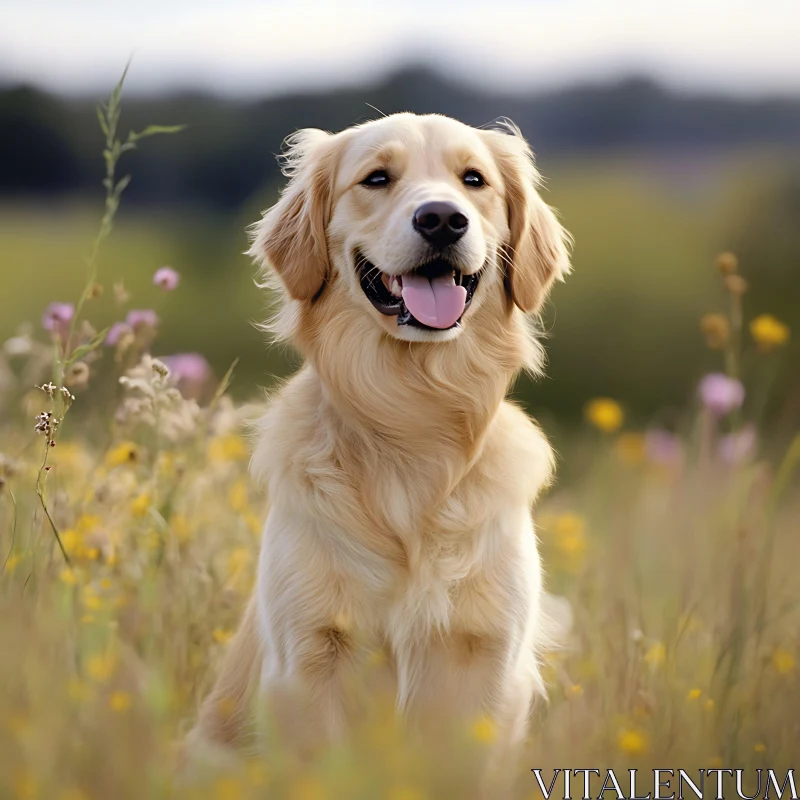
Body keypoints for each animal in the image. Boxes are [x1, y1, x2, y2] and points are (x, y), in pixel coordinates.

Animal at [186, 112, 576, 792]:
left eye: (473, 179)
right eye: (376, 179)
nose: (442, 219)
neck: (412, 419)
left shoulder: (487, 658)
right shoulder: (310, 656)